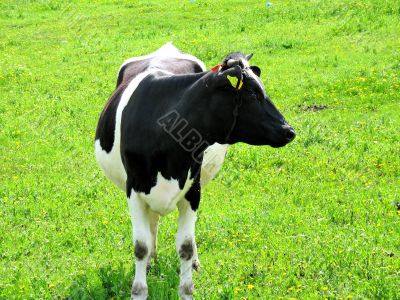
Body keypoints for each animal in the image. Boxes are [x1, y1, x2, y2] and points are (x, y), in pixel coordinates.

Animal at [93, 42, 294, 300]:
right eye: (252, 93)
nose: (288, 130)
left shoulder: (193, 191)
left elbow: (186, 247)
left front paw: (187, 287)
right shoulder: (134, 191)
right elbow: (140, 246)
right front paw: (139, 290)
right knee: (152, 224)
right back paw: (150, 263)